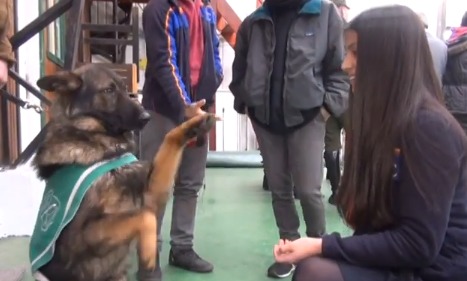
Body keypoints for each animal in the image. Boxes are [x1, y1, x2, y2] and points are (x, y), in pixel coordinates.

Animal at [31, 64, 218, 280]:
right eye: (108, 90)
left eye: (124, 88)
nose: (146, 117)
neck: (100, 144)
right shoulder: (83, 237)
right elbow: (146, 217)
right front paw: (149, 259)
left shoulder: (151, 192)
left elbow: (171, 138)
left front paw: (195, 123)